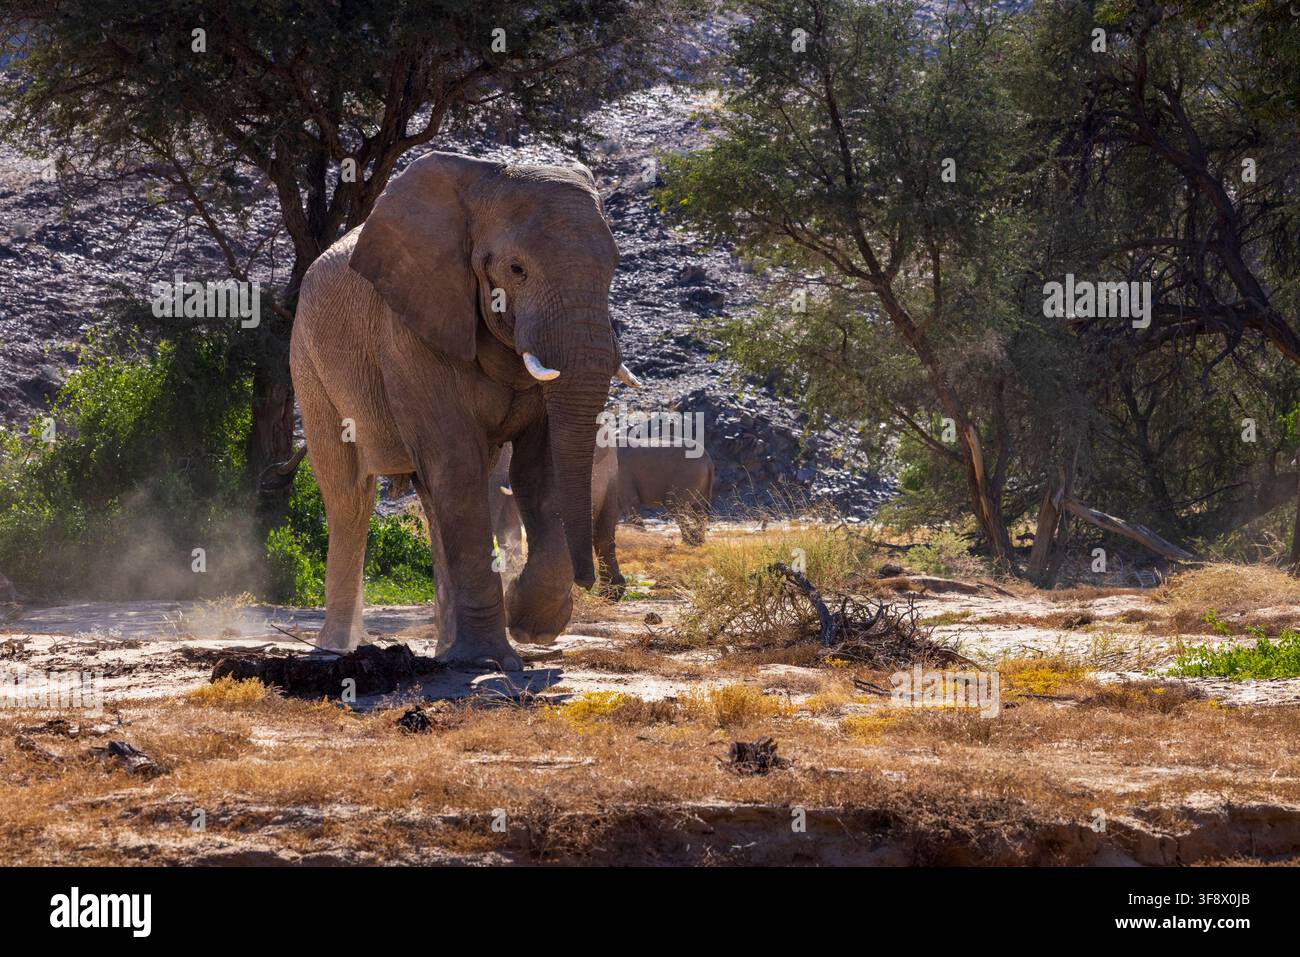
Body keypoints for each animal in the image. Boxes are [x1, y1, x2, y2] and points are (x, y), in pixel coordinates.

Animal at [290, 150, 641, 669]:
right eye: (516, 269)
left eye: (614, 266)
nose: (591, 583)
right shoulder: (411, 328)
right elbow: (458, 462)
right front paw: (490, 659)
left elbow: (538, 469)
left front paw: (528, 625)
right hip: (309, 365)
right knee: (350, 496)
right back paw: (336, 649)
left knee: (432, 499)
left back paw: (443, 649)